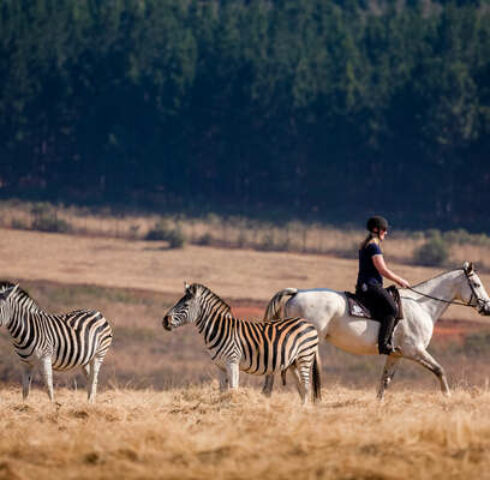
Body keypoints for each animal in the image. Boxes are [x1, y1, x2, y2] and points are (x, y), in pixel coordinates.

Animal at [162, 284, 322, 404]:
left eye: (185, 304)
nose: (164, 321)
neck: (220, 329)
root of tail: (307, 323)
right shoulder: (220, 365)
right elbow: (223, 390)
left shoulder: (232, 361)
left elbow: (234, 388)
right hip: (293, 362)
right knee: (301, 386)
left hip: (305, 357)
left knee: (306, 385)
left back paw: (305, 410)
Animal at [264, 260, 490, 400]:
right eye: (477, 284)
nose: (487, 307)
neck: (422, 305)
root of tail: (296, 293)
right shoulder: (415, 350)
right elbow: (439, 370)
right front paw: (447, 397)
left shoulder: (396, 355)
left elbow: (384, 382)